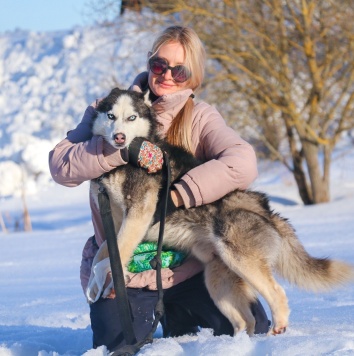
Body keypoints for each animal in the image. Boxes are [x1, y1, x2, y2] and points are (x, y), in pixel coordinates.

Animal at [87, 88, 352, 336]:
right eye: (111, 116)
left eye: (131, 117)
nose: (119, 137)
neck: (127, 158)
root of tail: (265, 208)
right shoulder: (120, 221)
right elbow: (104, 252)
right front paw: (98, 283)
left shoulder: (139, 214)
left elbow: (108, 259)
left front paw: (103, 276)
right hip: (218, 280)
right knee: (246, 320)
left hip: (241, 261)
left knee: (277, 293)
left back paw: (277, 328)